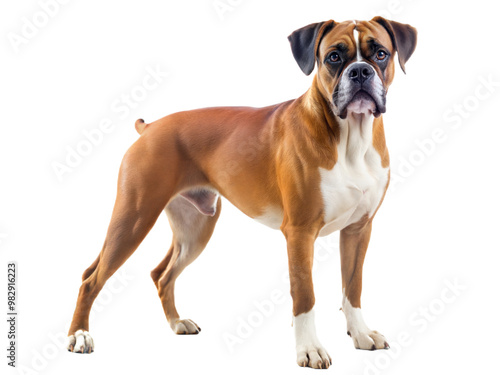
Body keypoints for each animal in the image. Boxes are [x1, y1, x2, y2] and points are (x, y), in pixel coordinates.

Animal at [67, 17, 418, 370]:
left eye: (381, 53)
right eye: (334, 56)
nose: (359, 71)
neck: (350, 139)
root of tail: (150, 127)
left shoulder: (358, 230)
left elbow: (353, 286)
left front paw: (360, 334)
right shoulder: (300, 233)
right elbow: (304, 294)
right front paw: (309, 349)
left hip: (195, 229)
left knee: (162, 274)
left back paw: (177, 323)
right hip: (134, 219)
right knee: (90, 278)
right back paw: (80, 336)